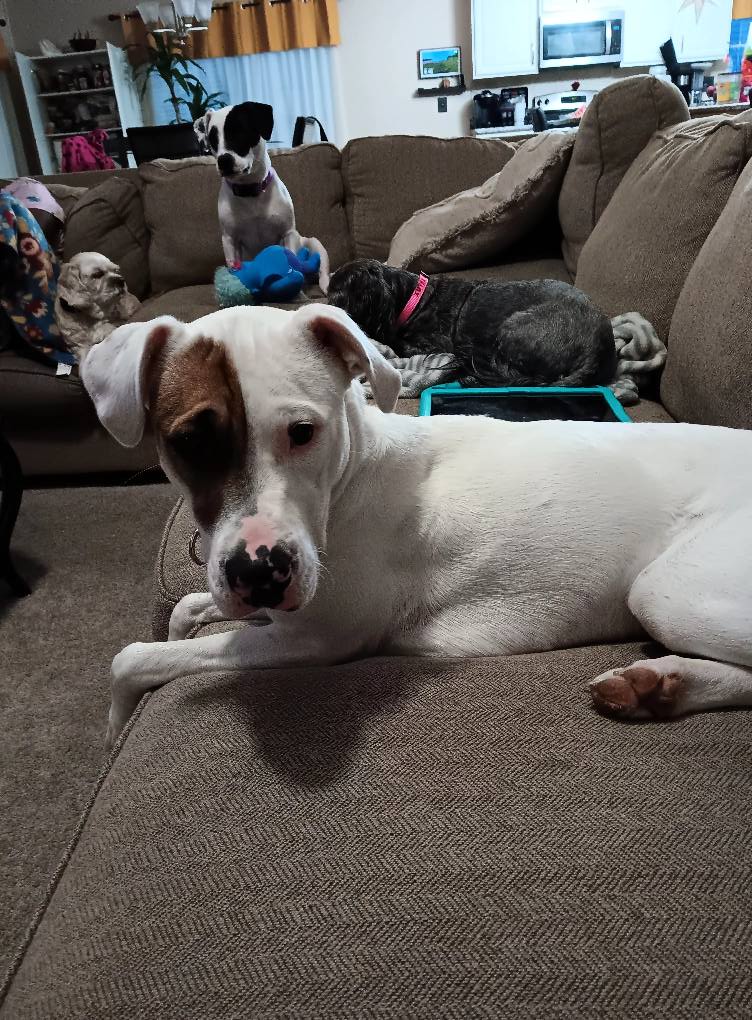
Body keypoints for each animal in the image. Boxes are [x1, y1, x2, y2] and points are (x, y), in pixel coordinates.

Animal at [79, 303, 750, 750]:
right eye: (188, 442)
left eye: (303, 431)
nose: (261, 573)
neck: (351, 478)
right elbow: (184, 610)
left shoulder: (317, 640)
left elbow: (133, 658)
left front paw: (113, 730)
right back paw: (659, 684)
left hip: (669, 590)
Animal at [194, 101, 330, 293]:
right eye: (212, 140)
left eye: (240, 132)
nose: (223, 160)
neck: (250, 192)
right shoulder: (230, 240)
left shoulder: (288, 233)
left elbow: (292, 260)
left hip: (313, 243)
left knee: (322, 268)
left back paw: (325, 284)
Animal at [328, 259, 616, 389]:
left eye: (336, 297)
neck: (413, 299)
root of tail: (598, 347)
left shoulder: (430, 344)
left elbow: (397, 343)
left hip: (513, 327)